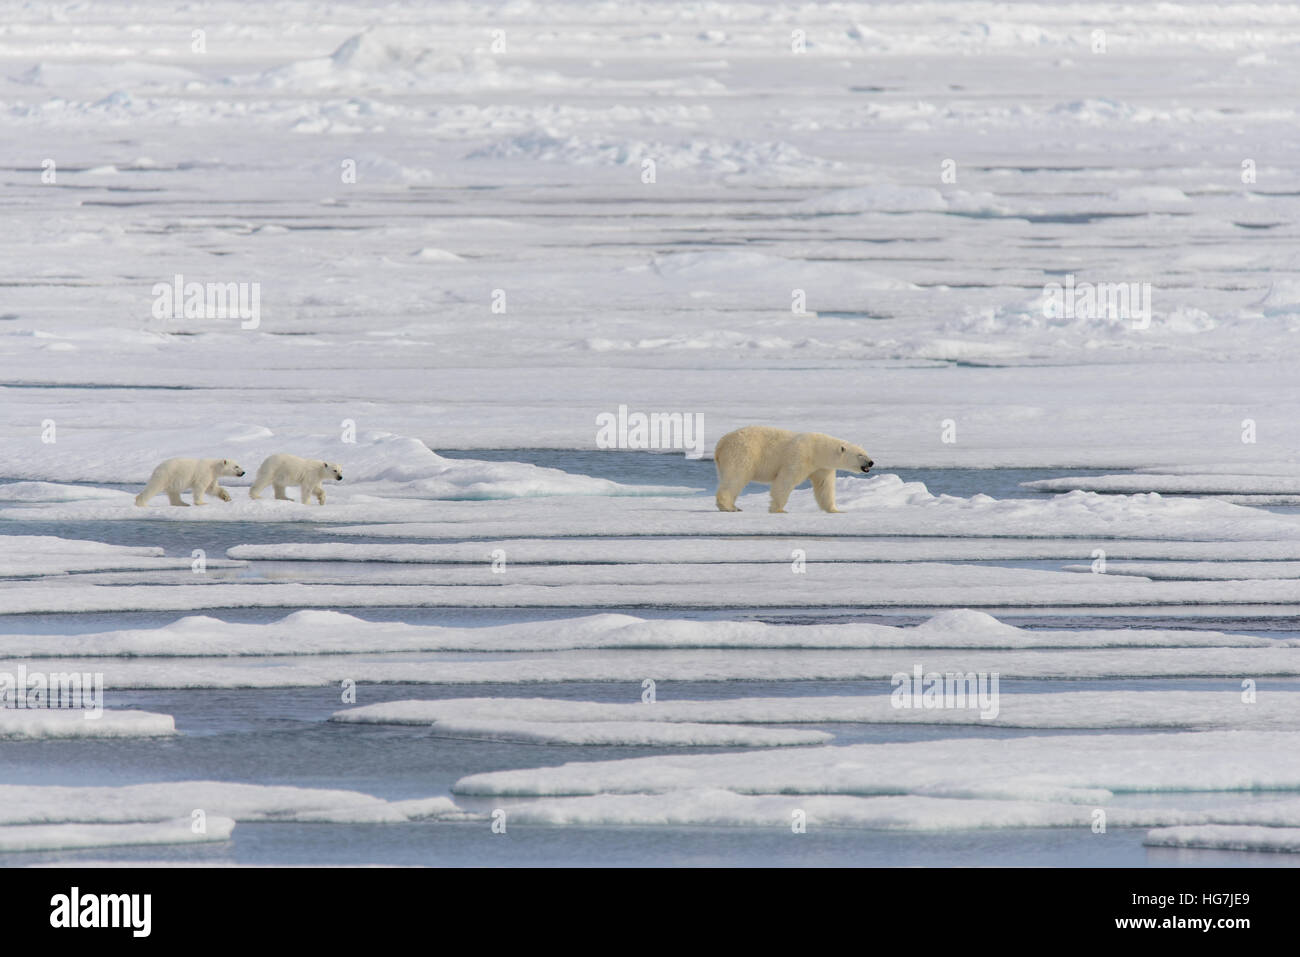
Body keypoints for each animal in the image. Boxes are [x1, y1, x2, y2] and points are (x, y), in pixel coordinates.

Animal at [714, 426, 873, 513]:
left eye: (866, 452)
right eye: (860, 455)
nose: (871, 462)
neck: (818, 450)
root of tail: (721, 443)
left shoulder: (822, 467)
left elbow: (824, 488)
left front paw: (836, 510)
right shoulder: (799, 456)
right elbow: (785, 481)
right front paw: (779, 509)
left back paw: (734, 506)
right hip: (743, 452)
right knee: (736, 477)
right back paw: (729, 507)